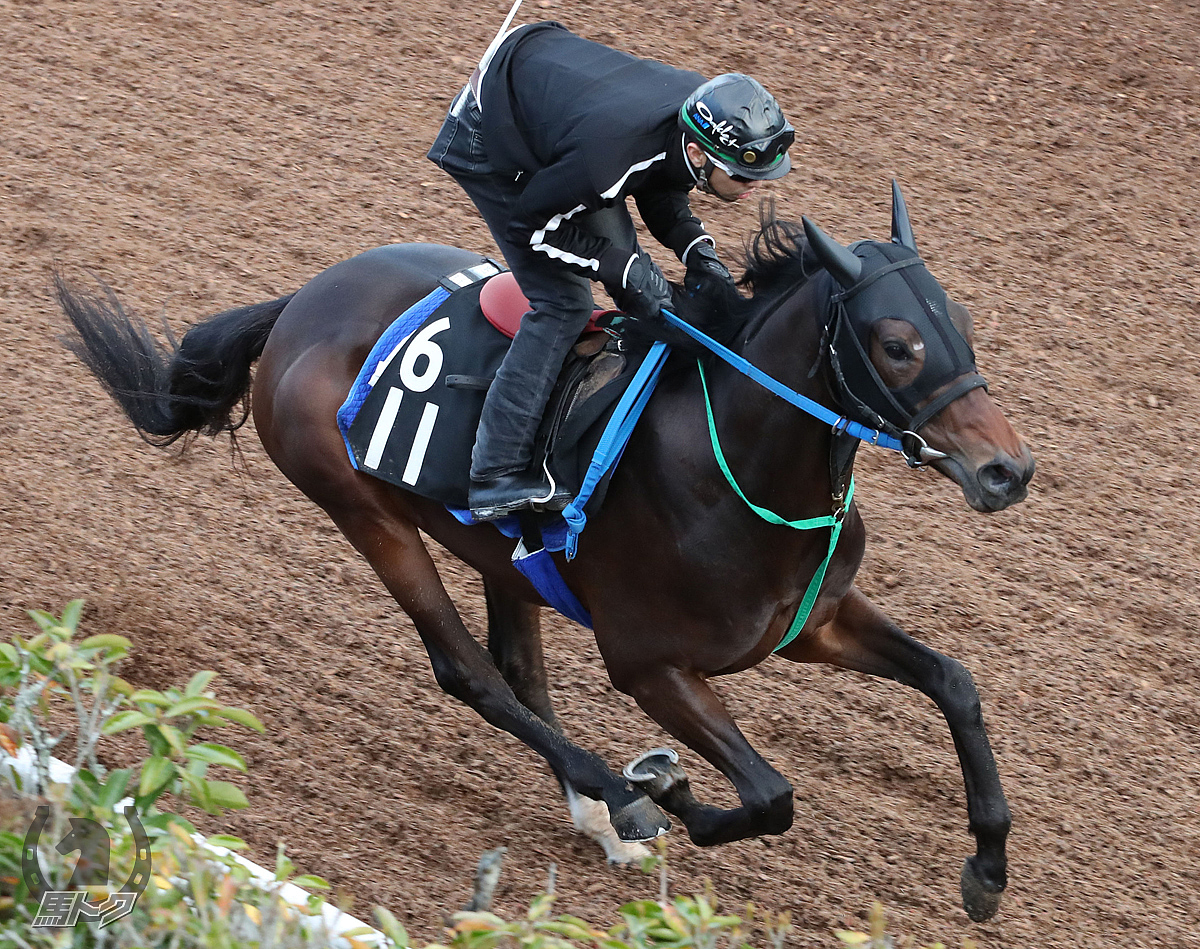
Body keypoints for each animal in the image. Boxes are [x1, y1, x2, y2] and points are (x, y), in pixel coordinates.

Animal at [56, 183, 1032, 921]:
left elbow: (955, 682)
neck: (733, 465)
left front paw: (986, 869)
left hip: (505, 556)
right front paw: (665, 789)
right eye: (897, 344)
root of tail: (299, 303)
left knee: (518, 666)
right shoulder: (648, 665)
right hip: (364, 511)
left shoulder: (814, 621)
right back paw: (618, 795)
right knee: (471, 673)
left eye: (962, 320)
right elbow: (770, 794)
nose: (1007, 470)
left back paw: (597, 810)